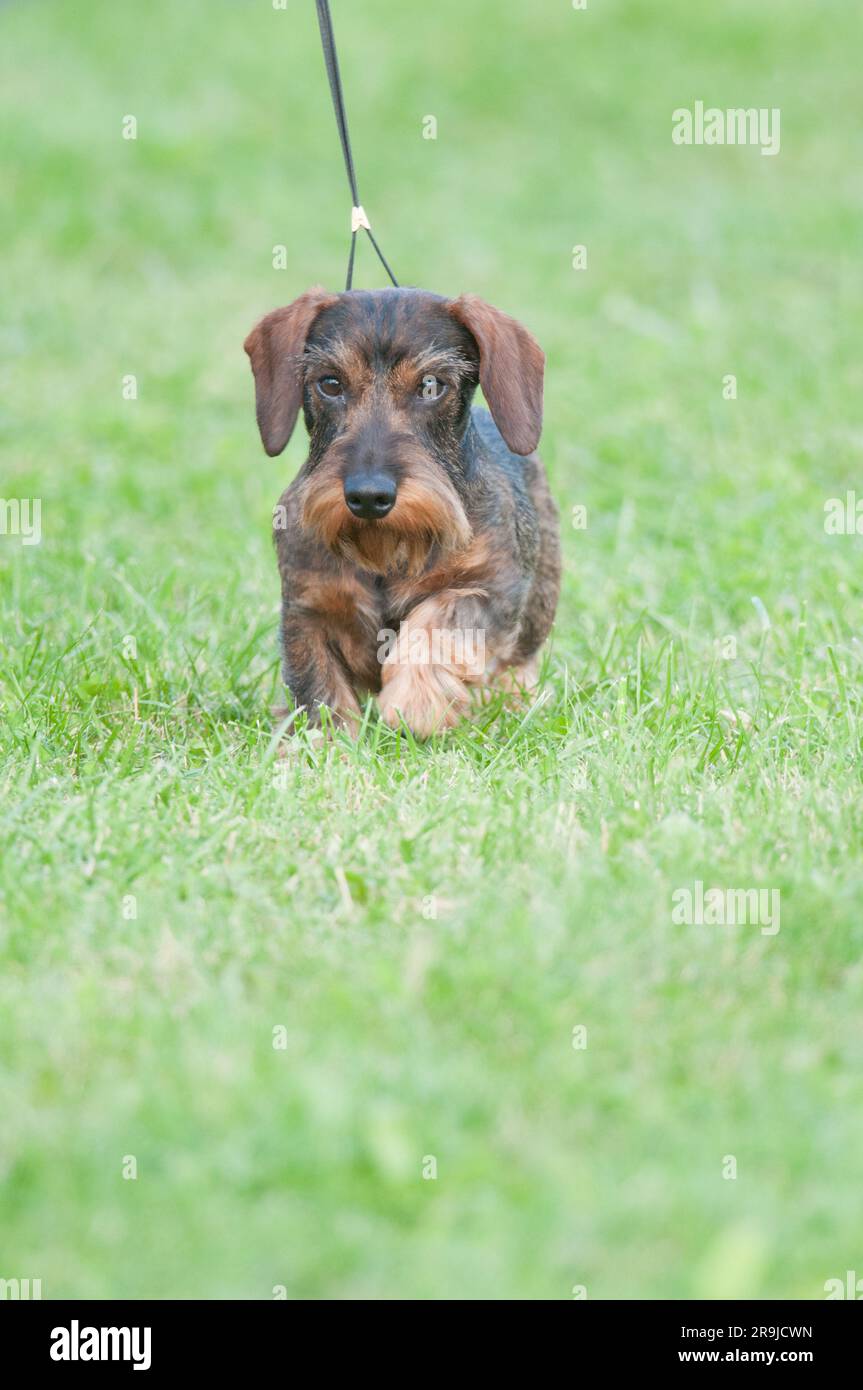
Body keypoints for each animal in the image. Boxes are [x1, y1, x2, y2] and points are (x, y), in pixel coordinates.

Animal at [245, 284, 561, 739]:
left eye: (430, 385)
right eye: (330, 383)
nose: (368, 496)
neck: (386, 548)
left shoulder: (493, 589)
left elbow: (439, 618)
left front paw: (417, 701)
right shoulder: (309, 608)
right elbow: (317, 686)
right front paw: (323, 743)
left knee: (519, 662)